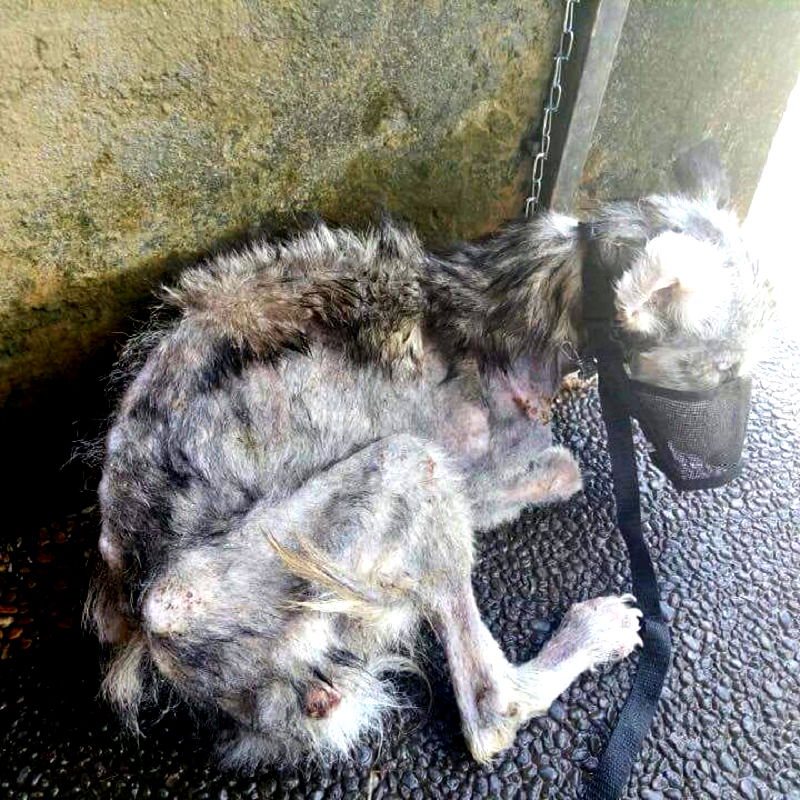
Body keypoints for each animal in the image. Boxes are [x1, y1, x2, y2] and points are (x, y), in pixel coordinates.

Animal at [87, 144, 773, 768]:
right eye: (723, 370)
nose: (721, 473)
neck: (535, 298)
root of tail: (154, 633)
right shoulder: (468, 468)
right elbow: (542, 469)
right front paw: (554, 464)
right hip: (401, 472)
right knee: (492, 708)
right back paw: (589, 635)